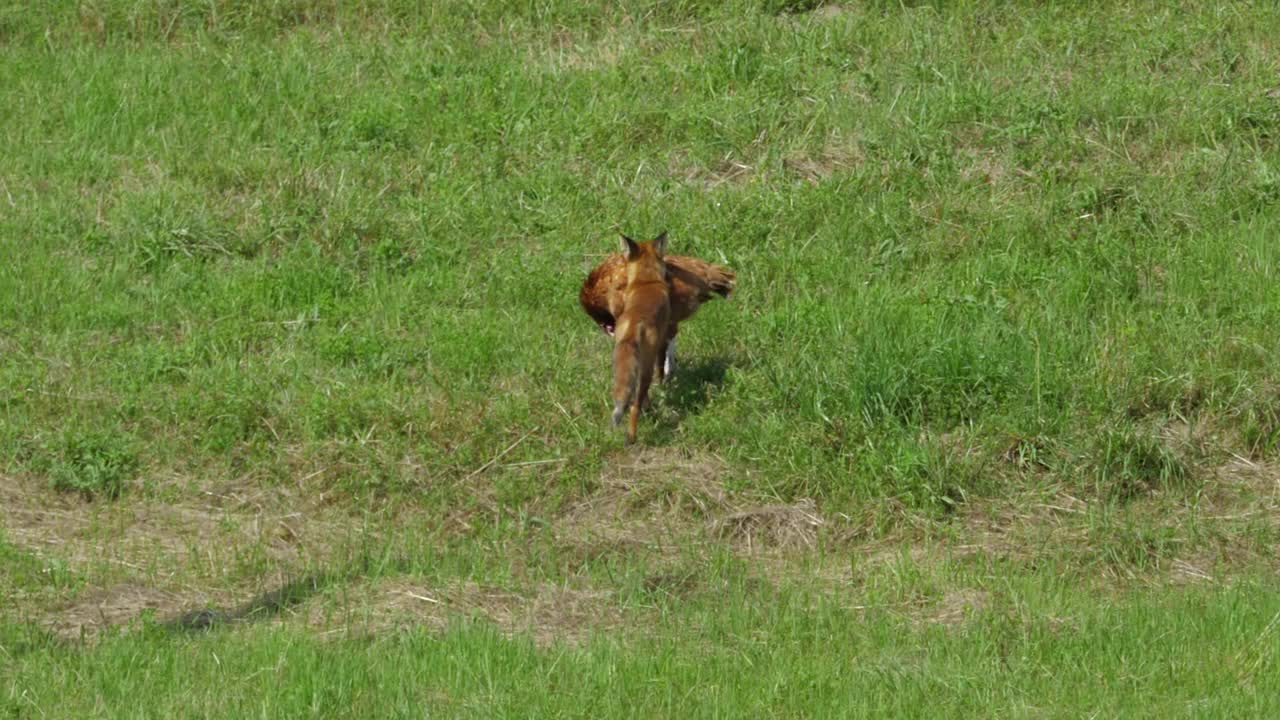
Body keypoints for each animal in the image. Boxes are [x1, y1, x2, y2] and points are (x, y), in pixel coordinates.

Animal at [609, 230, 670, 443]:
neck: (646, 281)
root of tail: (635, 324)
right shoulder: (663, 338)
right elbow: (662, 364)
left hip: (622, 362)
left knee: (629, 397)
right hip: (646, 368)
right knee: (635, 404)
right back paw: (632, 435)